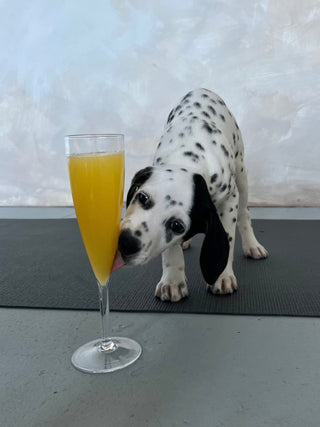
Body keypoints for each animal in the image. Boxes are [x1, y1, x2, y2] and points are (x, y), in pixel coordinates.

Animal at [115, 88, 268, 300]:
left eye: (177, 226)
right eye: (142, 197)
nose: (126, 243)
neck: (190, 157)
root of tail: (202, 90)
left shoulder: (230, 199)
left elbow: (228, 238)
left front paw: (222, 276)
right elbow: (171, 250)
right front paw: (172, 280)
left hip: (241, 174)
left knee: (245, 214)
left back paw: (252, 245)